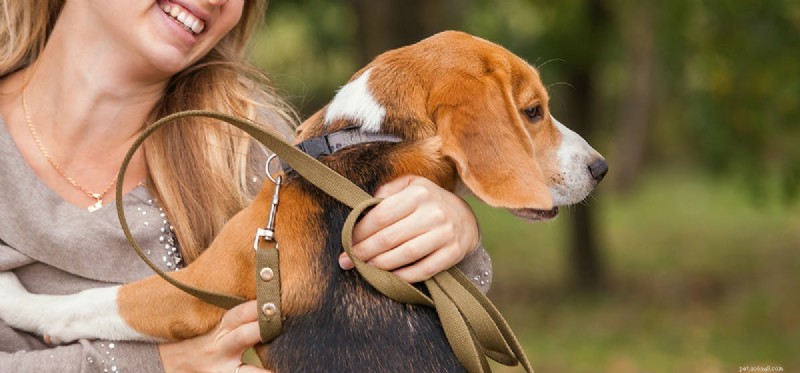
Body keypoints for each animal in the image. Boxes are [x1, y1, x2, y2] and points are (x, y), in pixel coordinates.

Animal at [0, 30, 604, 370]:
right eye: (533, 112)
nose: (600, 169)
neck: (362, 139)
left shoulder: (199, 289)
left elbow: (90, 303)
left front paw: (15, 298)